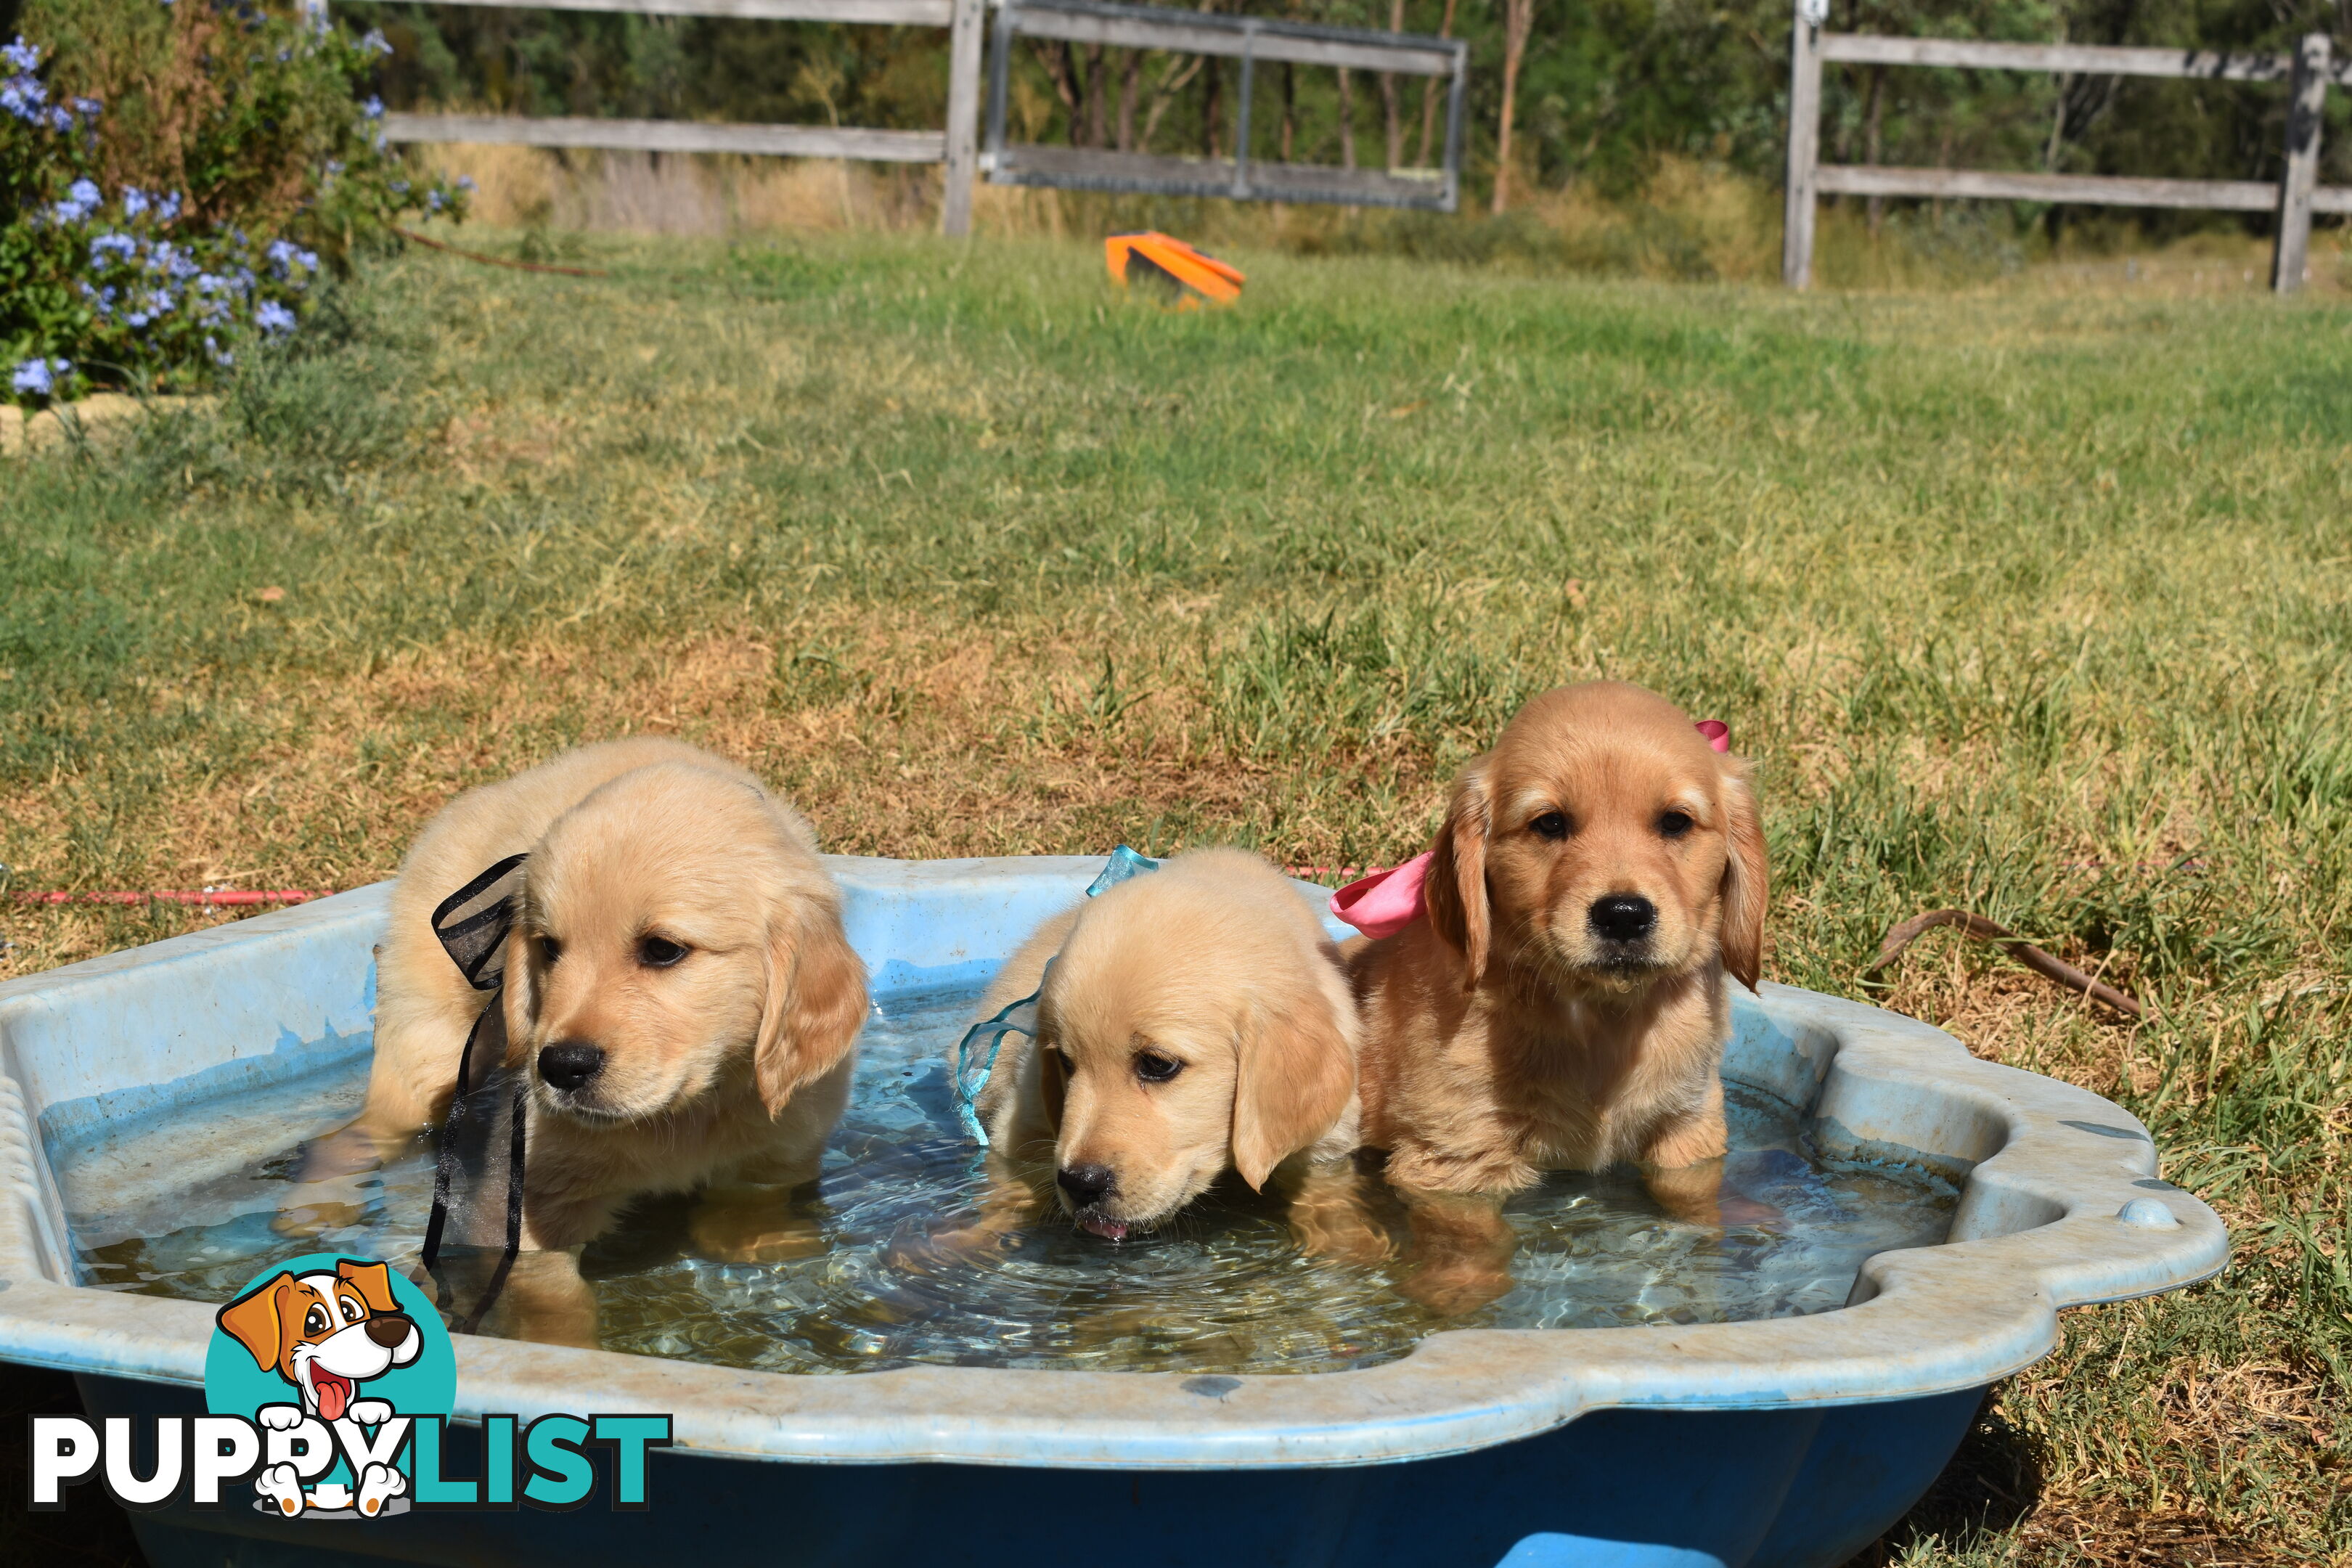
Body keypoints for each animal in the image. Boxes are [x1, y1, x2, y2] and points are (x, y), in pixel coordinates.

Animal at [955, 851, 1364, 1241]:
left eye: (1158, 1065)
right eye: (1066, 1063)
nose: (1080, 1184)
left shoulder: (1326, 1149)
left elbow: (1329, 1206)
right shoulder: (1019, 1127)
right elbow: (1004, 1194)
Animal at [1345, 682, 1768, 1307]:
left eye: (1675, 823)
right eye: (1549, 825)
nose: (1624, 915)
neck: (1600, 1019)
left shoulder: (1689, 1127)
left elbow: (1694, 1205)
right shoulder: (1455, 1159)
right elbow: (1466, 1244)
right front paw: (1457, 1300)